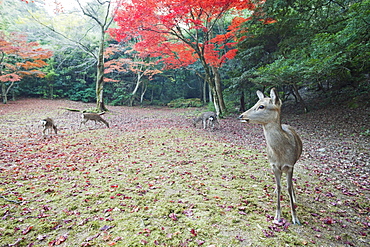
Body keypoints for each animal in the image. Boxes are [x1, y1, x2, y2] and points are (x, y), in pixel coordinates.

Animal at [238, 88, 302, 225]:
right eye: (256, 103)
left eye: (261, 106)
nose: (241, 115)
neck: (280, 155)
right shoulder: (273, 165)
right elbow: (279, 186)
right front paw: (277, 216)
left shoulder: (290, 165)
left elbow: (288, 187)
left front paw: (295, 218)